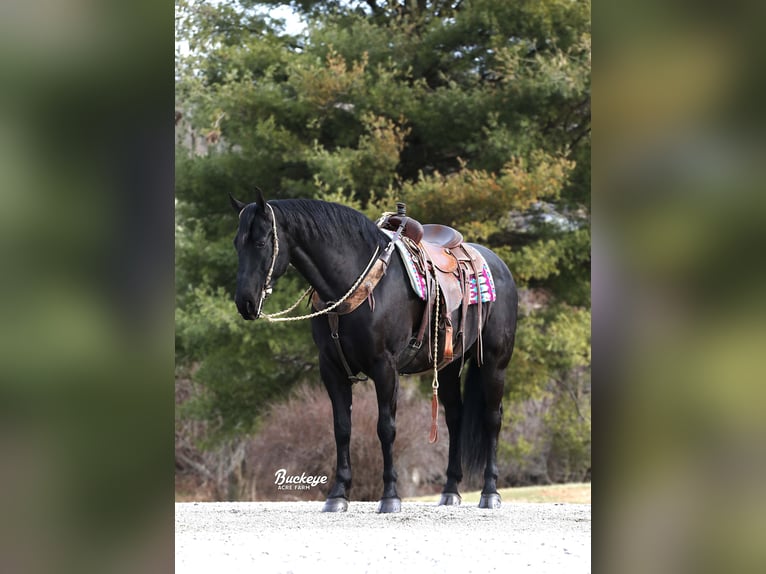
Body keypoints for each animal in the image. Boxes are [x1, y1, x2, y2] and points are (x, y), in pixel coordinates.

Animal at [231, 192, 520, 512]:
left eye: (260, 242)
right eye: (236, 243)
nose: (245, 302)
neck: (354, 280)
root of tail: (496, 263)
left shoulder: (385, 368)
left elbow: (386, 427)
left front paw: (390, 496)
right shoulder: (331, 369)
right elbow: (342, 428)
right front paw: (338, 495)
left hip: (495, 362)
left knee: (492, 418)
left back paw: (490, 492)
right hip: (447, 366)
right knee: (455, 417)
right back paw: (450, 491)